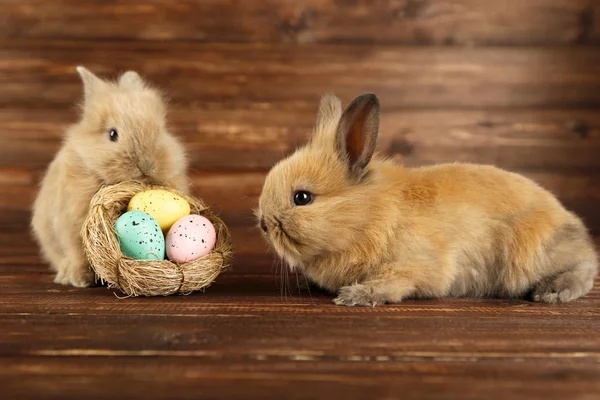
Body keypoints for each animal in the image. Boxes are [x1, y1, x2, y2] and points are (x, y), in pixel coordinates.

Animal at [31, 69, 190, 288]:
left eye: (160, 129)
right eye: (113, 134)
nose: (146, 164)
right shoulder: (71, 224)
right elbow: (78, 252)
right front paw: (80, 279)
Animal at [255, 94, 596, 306]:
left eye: (302, 197)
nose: (263, 224)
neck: (369, 215)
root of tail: (573, 227)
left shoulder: (418, 263)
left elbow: (398, 280)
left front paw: (356, 295)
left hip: (531, 254)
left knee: (585, 266)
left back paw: (553, 292)